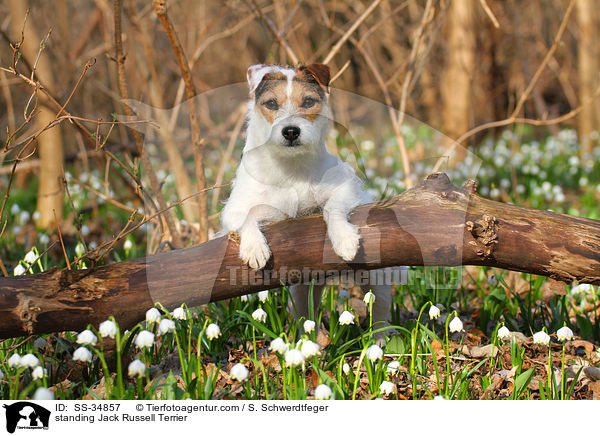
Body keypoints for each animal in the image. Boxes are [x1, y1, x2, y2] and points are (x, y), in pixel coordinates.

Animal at [220, 63, 394, 344]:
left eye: (308, 102)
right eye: (271, 103)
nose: (291, 131)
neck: (290, 167)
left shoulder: (345, 189)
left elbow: (332, 208)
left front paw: (343, 239)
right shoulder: (234, 208)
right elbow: (246, 217)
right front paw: (255, 248)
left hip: (376, 278)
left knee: (379, 307)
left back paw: (379, 339)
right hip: (301, 293)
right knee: (304, 315)